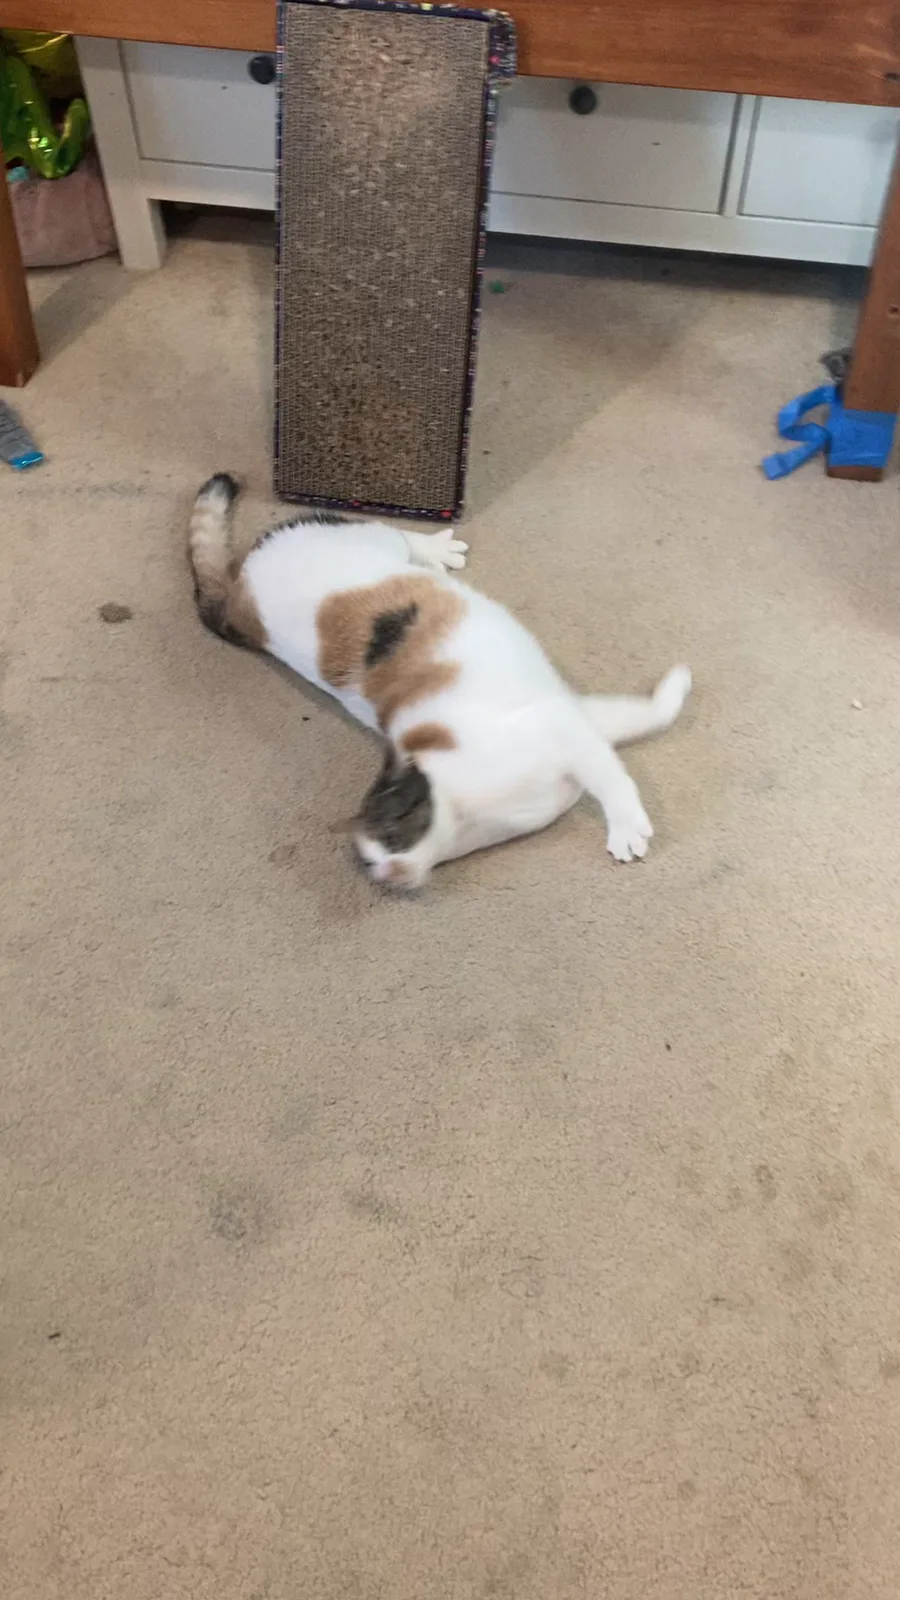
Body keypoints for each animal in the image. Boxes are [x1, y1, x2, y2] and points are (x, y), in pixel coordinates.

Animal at [189, 474, 691, 889]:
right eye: (369, 861)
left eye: (393, 832)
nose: (387, 873)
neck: (471, 819)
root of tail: (237, 593)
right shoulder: (574, 718)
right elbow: (644, 720)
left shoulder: (560, 720)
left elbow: (628, 753)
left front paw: (626, 827)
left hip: (364, 538)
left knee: (396, 532)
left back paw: (436, 550)